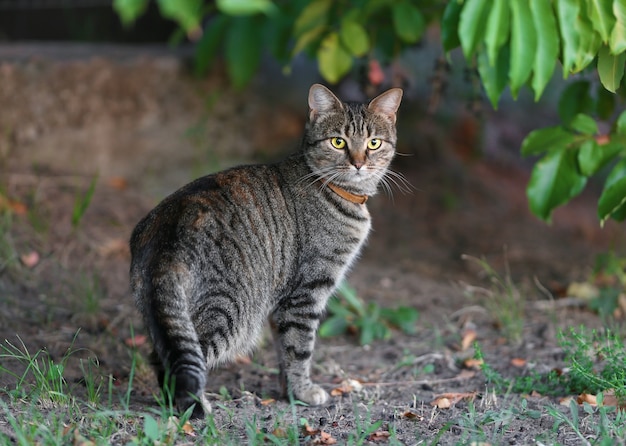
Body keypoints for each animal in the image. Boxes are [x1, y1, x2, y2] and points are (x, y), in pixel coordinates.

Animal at [129, 84, 402, 418]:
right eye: (338, 142)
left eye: (374, 143)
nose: (359, 163)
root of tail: (167, 227)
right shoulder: (306, 293)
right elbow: (300, 349)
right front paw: (304, 392)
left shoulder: (281, 304)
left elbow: (284, 352)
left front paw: (289, 393)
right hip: (229, 310)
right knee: (183, 359)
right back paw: (197, 408)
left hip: (161, 315)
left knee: (160, 356)